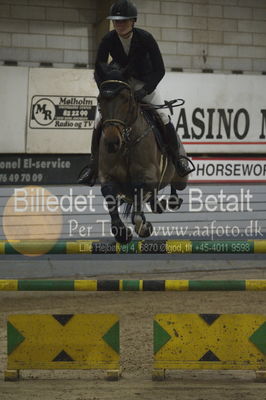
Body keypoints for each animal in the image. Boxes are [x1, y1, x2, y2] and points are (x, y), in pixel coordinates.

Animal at [96, 65, 190, 244]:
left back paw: (172, 200)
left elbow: (139, 192)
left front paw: (143, 227)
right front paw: (121, 233)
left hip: (181, 176)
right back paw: (157, 206)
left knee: (176, 182)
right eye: (99, 100)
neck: (126, 143)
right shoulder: (107, 176)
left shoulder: (148, 175)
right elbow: (110, 196)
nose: (112, 142)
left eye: (126, 99)